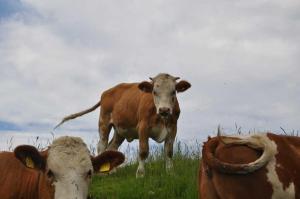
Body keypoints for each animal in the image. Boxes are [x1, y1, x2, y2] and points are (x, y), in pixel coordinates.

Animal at [55, 73, 191, 177]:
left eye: (173, 92)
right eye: (154, 92)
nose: (164, 110)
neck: (161, 118)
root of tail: (107, 91)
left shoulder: (173, 128)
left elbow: (169, 152)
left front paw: (170, 173)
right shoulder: (143, 127)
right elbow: (143, 151)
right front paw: (140, 174)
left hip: (119, 131)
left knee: (111, 147)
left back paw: (112, 172)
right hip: (104, 122)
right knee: (102, 145)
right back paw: (100, 173)